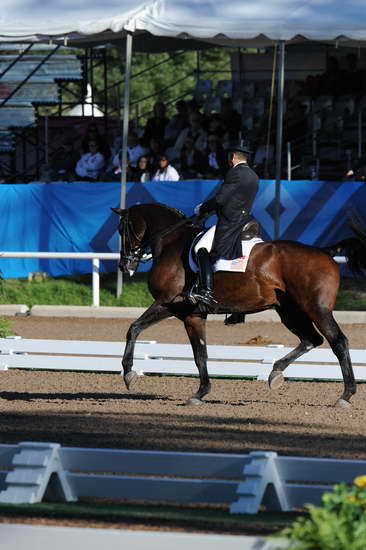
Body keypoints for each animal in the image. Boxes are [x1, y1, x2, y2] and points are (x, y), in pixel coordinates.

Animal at [113, 203, 366, 410]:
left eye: (122, 230)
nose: (125, 265)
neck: (172, 244)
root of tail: (323, 252)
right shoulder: (193, 315)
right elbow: (200, 354)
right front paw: (200, 393)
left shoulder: (168, 303)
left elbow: (134, 329)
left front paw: (128, 374)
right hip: (288, 310)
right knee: (311, 339)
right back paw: (275, 372)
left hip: (316, 309)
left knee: (338, 342)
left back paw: (345, 395)